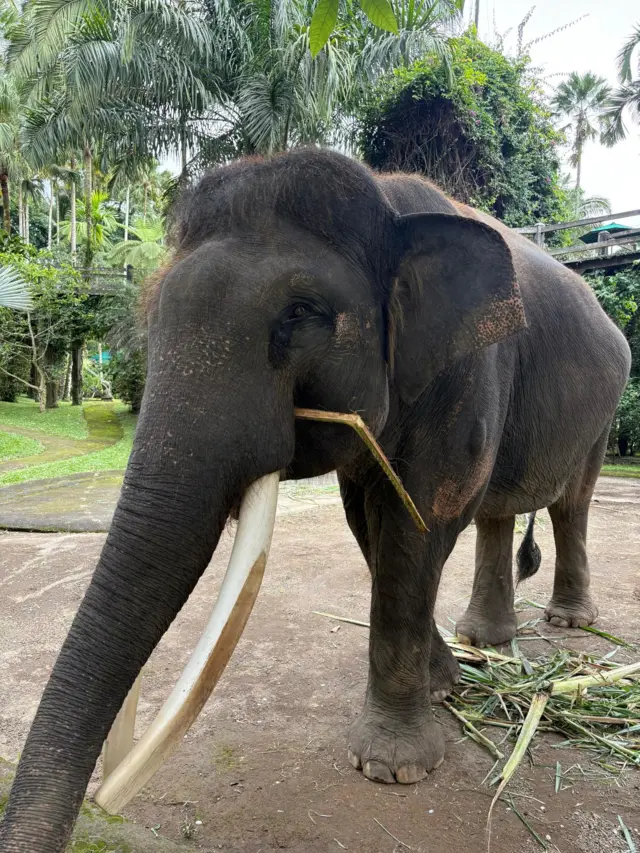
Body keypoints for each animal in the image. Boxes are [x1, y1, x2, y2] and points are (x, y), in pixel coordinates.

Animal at [0, 148, 630, 851]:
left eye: (301, 313)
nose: (100, 808)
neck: (387, 202)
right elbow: (370, 526)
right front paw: (443, 686)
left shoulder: (470, 370)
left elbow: (420, 521)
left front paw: (393, 767)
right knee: (497, 513)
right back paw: (485, 641)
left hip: (605, 406)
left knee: (572, 502)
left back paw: (568, 623)